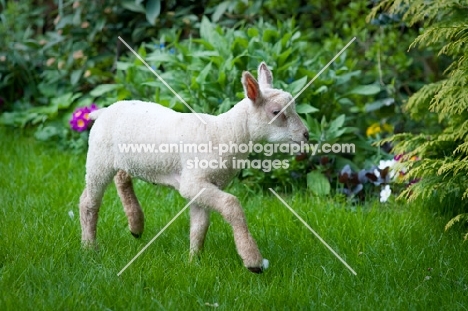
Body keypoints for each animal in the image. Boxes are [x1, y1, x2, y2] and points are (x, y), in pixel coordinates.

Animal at [78, 62, 308, 272]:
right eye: (276, 112)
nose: (306, 135)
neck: (224, 132)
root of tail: (104, 111)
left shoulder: (205, 183)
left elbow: (200, 225)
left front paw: (193, 261)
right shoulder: (193, 181)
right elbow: (231, 204)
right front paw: (253, 261)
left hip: (123, 158)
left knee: (122, 177)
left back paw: (136, 225)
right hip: (99, 158)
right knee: (88, 202)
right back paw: (89, 247)